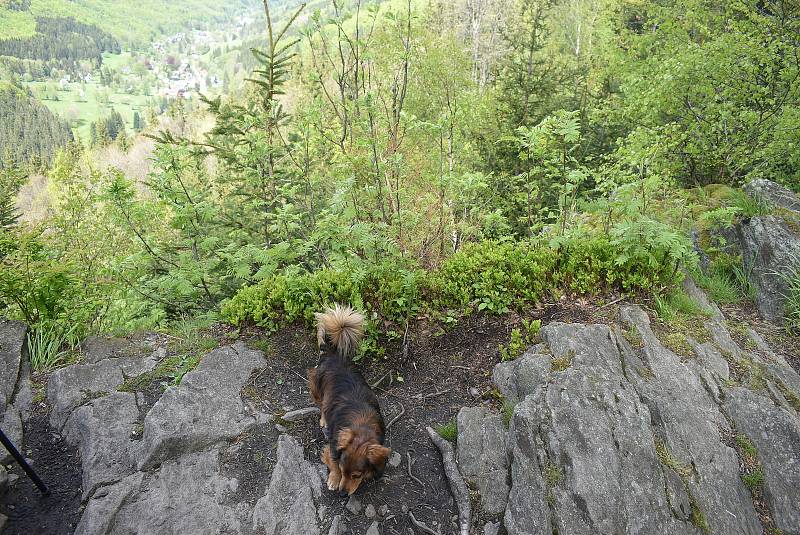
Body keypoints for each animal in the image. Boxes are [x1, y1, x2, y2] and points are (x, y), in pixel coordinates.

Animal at [308, 304, 392, 496]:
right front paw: (334, 478)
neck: (361, 426)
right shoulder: (333, 447)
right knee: (322, 405)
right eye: (343, 470)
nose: (343, 493)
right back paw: (323, 420)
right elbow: (332, 460)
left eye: (356, 475)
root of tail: (331, 353)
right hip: (317, 389)